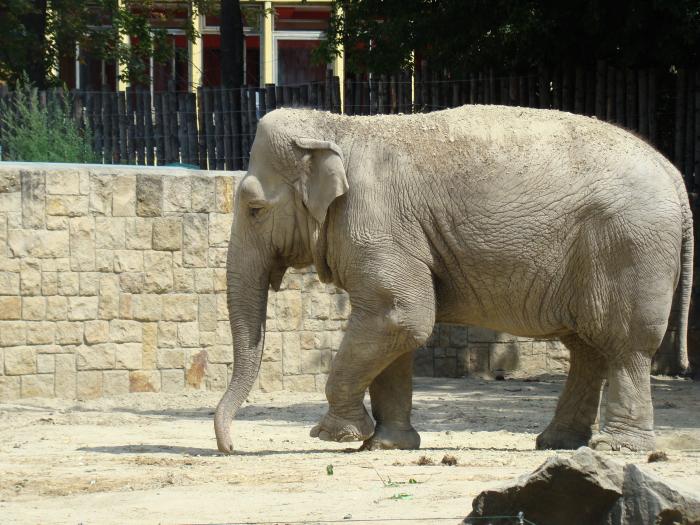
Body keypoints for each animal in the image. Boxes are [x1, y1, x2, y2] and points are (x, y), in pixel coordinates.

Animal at [212, 104, 688, 452]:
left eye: (254, 208)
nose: (229, 448)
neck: (338, 126)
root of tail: (673, 171)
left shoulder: (375, 223)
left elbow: (400, 316)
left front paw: (335, 436)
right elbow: (397, 327)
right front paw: (388, 445)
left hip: (628, 247)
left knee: (624, 345)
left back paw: (617, 449)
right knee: (588, 347)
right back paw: (558, 444)